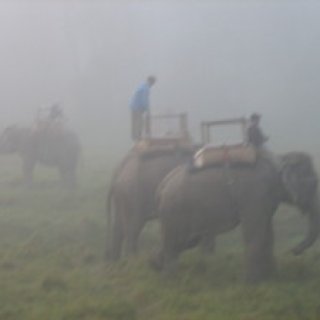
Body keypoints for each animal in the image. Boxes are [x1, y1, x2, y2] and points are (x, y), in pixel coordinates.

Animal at [154, 152, 318, 282]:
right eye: (313, 184)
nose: (294, 251)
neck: (279, 160)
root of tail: (163, 184)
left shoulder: (266, 200)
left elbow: (268, 232)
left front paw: (272, 278)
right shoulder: (255, 195)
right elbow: (255, 233)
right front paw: (253, 283)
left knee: (185, 241)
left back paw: (155, 265)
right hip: (176, 210)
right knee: (176, 242)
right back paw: (169, 280)